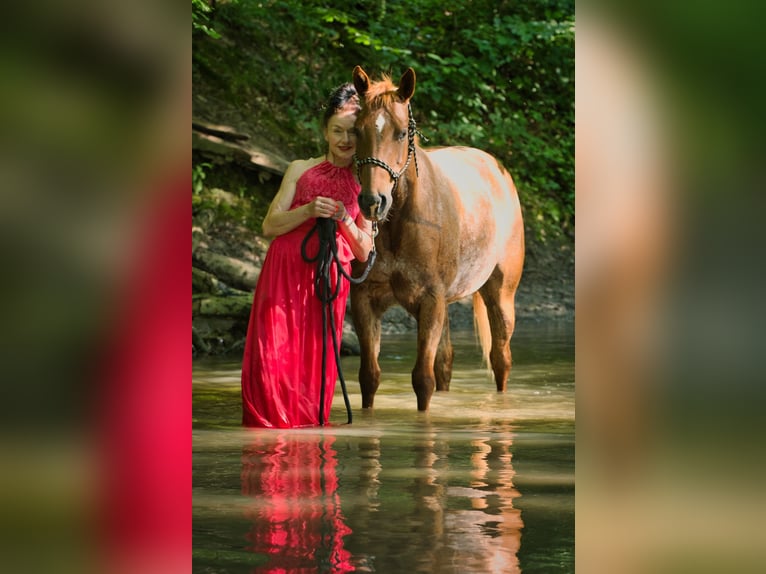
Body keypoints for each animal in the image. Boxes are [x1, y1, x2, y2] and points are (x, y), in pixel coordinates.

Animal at [349, 66, 525, 411]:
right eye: (357, 130)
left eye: (401, 133)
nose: (373, 202)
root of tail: (498, 169)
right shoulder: (365, 300)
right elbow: (369, 377)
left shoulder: (430, 301)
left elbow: (422, 380)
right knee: (445, 363)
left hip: (500, 297)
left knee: (501, 360)